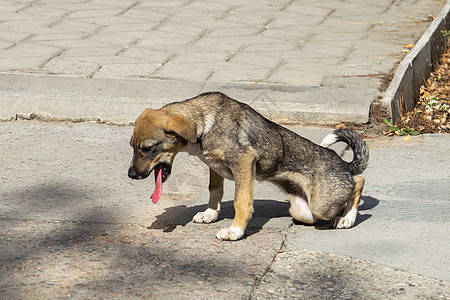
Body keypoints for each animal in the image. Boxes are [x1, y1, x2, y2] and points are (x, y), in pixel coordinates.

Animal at [128, 92, 368, 240]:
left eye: (148, 148)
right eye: (132, 146)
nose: (131, 174)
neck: (204, 126)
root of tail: (343, 164)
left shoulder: (244, 160)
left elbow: (240, 201)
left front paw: (235, 230)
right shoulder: (214, 166)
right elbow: (214, 191)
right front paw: (210, 214)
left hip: (322, 204)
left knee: (358, 181)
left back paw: (347, 218)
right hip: (303, 211)